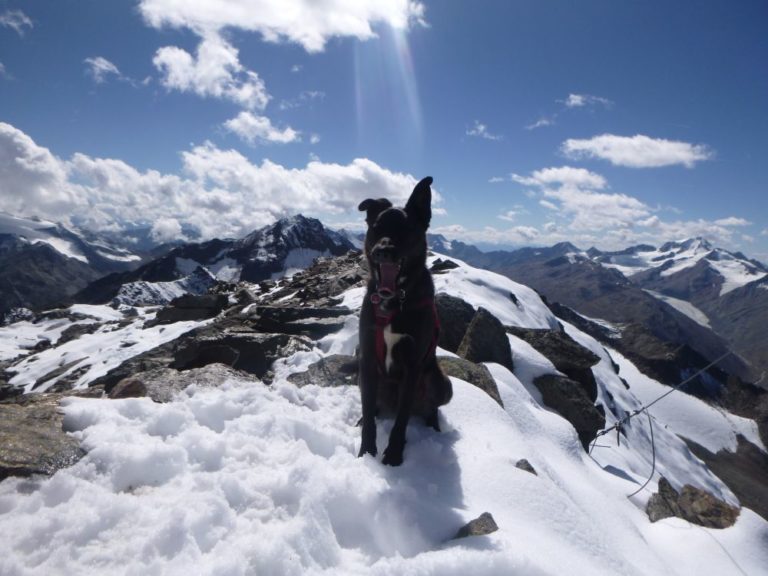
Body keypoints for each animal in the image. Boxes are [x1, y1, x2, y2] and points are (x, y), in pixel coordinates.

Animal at [356, 178, 452, 466]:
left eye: (406, 229)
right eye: (376, 228)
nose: (383, 251)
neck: (395, 302)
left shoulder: (413, 365)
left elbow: (400, 421)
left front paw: (394, 455)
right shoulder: (366, 359)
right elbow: (369, 415)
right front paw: (366, 453)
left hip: (442, 383)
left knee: (429, 407)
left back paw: (432, 424)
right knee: (374, 407)